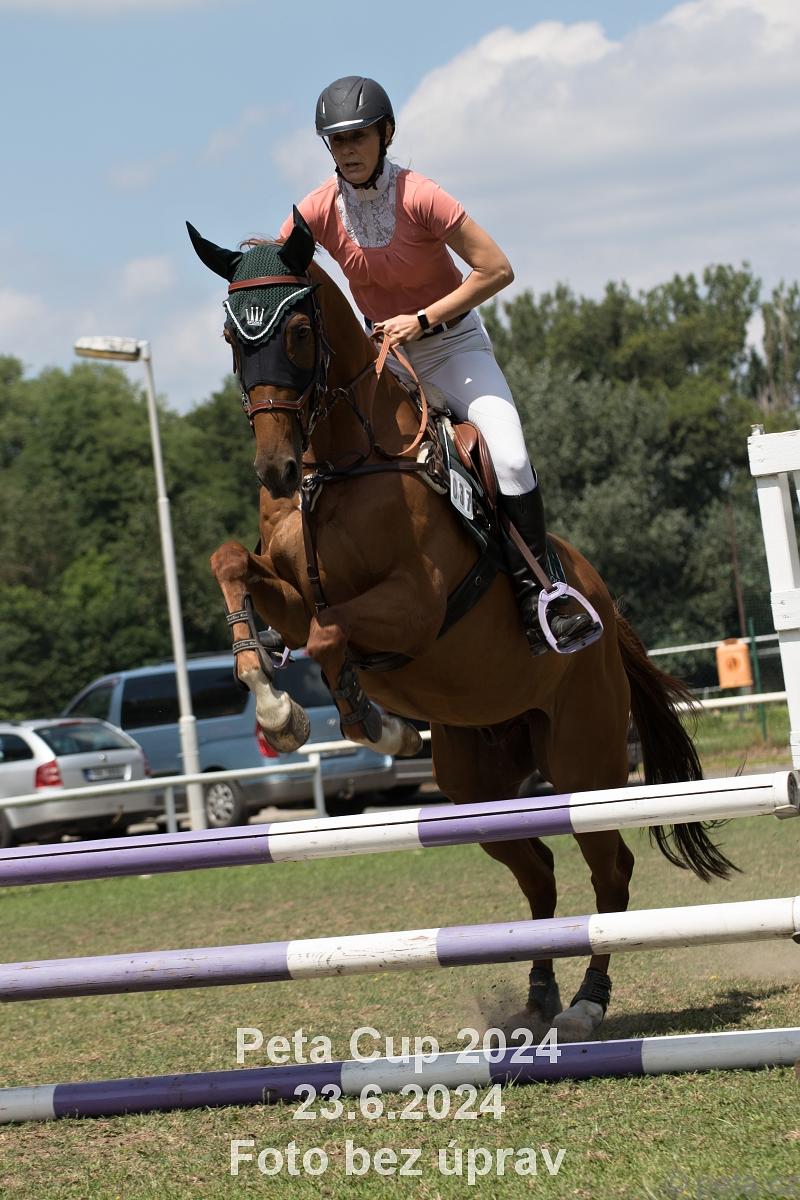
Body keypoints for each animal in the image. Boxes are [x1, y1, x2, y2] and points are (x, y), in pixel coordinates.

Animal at [187, 210, 735, 1041]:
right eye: (230, 336)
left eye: (302, 332)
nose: (275, 471)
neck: (340, 463)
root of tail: (606, 610)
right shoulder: (290, 587)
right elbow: (235, 568)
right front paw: (274, 699)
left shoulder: (415, 604)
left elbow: (329, 635)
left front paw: (367, 720)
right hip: (478, 785)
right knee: (538, 876)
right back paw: (537, 996)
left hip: (586, 762)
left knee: (609, 871)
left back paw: (585, 1002)